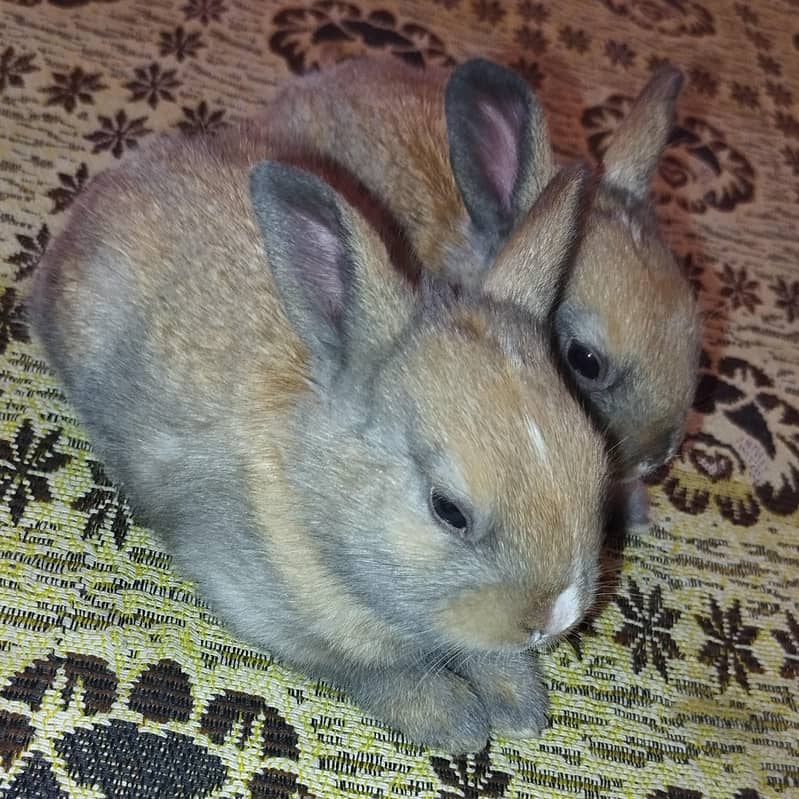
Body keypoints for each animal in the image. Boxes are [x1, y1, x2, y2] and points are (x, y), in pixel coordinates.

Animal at [29, 122, 610, 753]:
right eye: (448, 510)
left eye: (597, 464)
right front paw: (455, 723)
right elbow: (375, 671)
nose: (556, 616)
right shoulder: (269, 607)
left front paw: (520, 708)